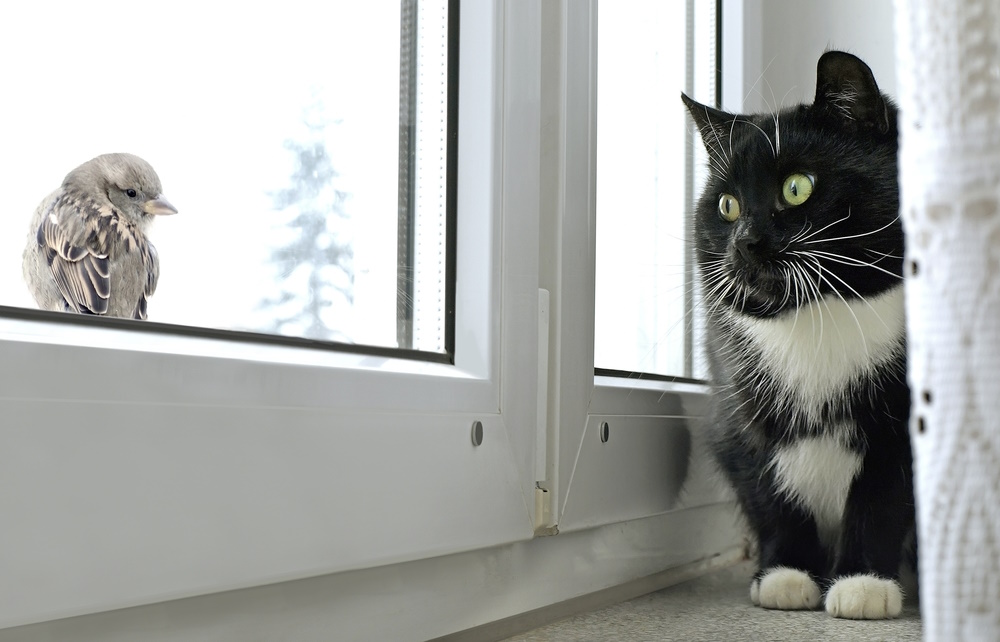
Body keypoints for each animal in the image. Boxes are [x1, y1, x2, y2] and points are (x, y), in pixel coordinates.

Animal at [684, 51, 912, 620]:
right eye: (726, 206)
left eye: (796, 187)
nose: (745, 242)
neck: (820, 315)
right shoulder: (736, 407)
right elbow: (770, 490)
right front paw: (786, 575)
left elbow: (883, 496)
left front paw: (862, 583)